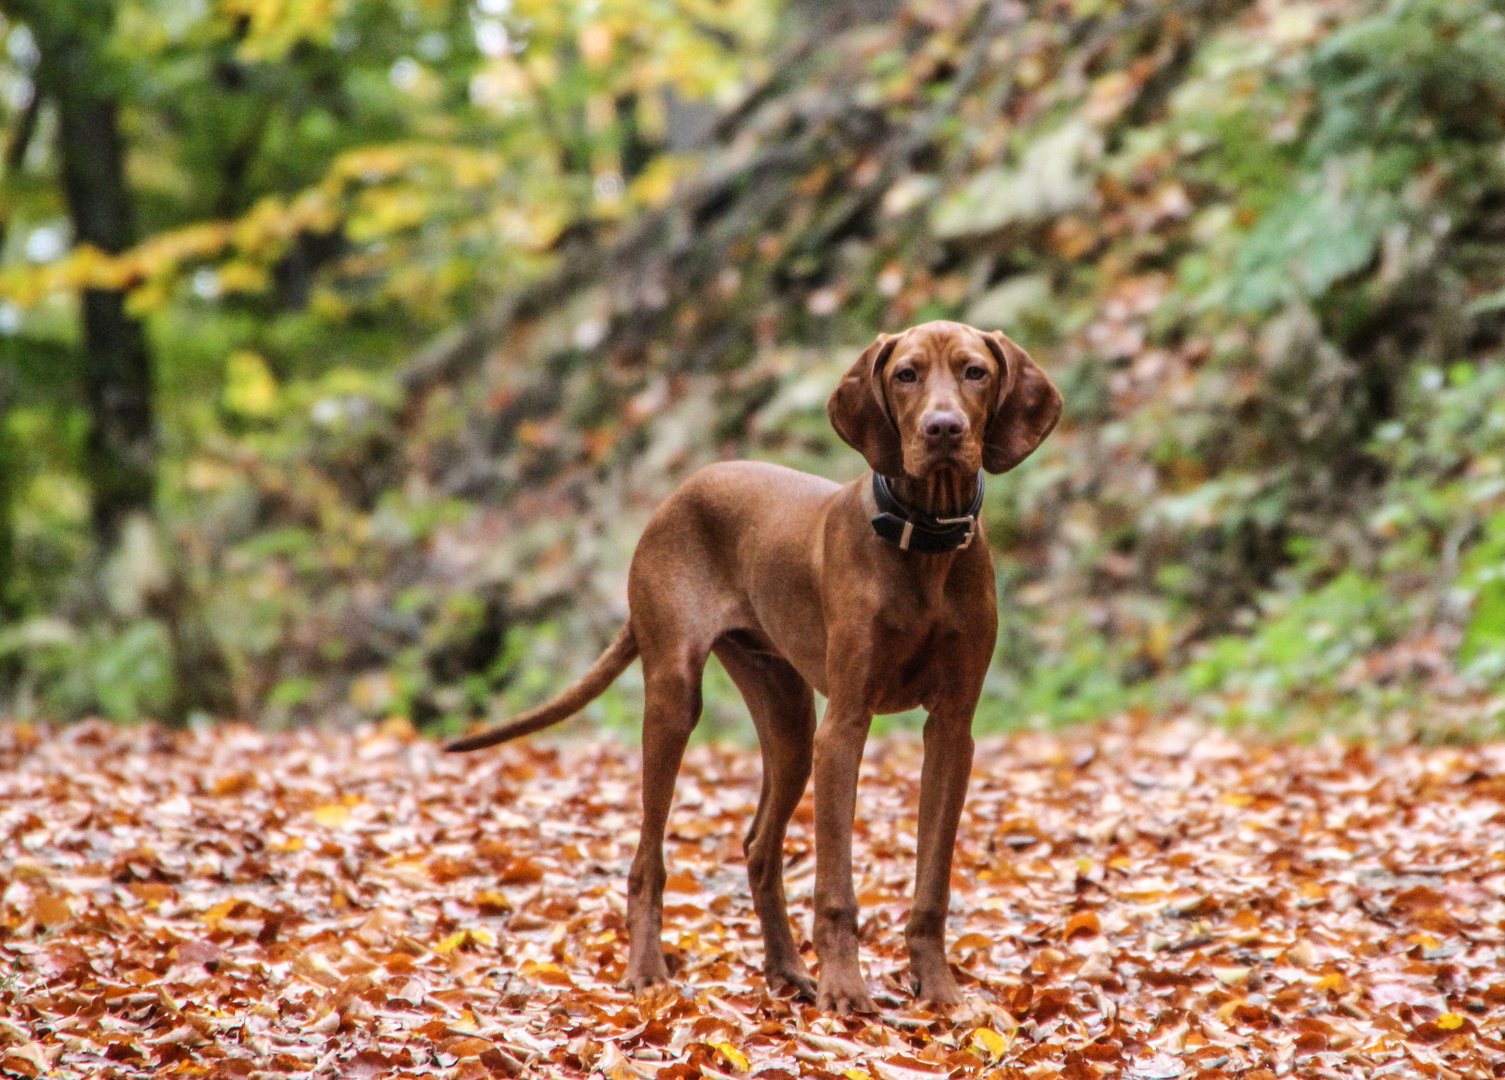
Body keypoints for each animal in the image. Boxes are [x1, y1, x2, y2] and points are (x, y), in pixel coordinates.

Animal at [445, 321, 1059, 1016]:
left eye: (974, 371)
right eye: (906, 375)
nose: (943, 429)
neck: (922, 540)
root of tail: (676, 495)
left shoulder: (953, 730)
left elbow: (933, 883)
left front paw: (940, 990)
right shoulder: (844, 727)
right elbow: (836, 886)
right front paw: (846, 990)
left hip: (788, 722)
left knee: (760, 848)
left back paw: (787, 971)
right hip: (677, 696)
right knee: (648, 860)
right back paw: (648, 971)